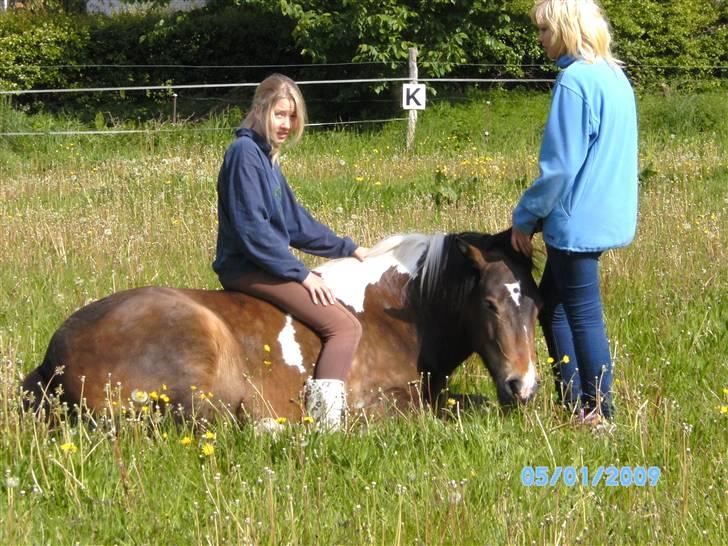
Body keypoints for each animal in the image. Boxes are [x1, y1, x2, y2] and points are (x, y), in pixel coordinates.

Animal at [22, 228, 540, 420]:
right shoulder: (379, 402)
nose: (524, 386)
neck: (396, 316)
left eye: (535, 307)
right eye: (490, 304)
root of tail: (54, 359)